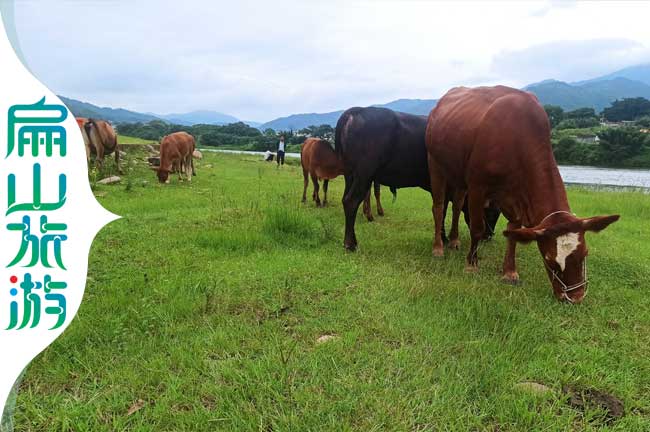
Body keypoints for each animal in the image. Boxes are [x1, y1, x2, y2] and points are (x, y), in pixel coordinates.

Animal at [334, 106, 496, 251]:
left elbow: (441, 209)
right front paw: (444, 239)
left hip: (351, 176)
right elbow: (443, 210)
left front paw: (442, 237)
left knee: (346, 200)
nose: (488, 236)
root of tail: (356, 111)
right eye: (492, 210)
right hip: (364, 175)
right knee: (351, 202)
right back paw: (351, 244)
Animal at [422, 86, 616, 302]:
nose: (575, 297)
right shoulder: (477, 187)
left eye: (585, 253)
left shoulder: (514, 198)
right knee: (439, 207)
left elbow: (513, 232)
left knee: (456, 206)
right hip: (435, 164)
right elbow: (477, 228)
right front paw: (471, 265)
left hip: (458, 174)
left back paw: (454, 240)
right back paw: (438, 247)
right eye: (550, 260)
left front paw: (509, 271)